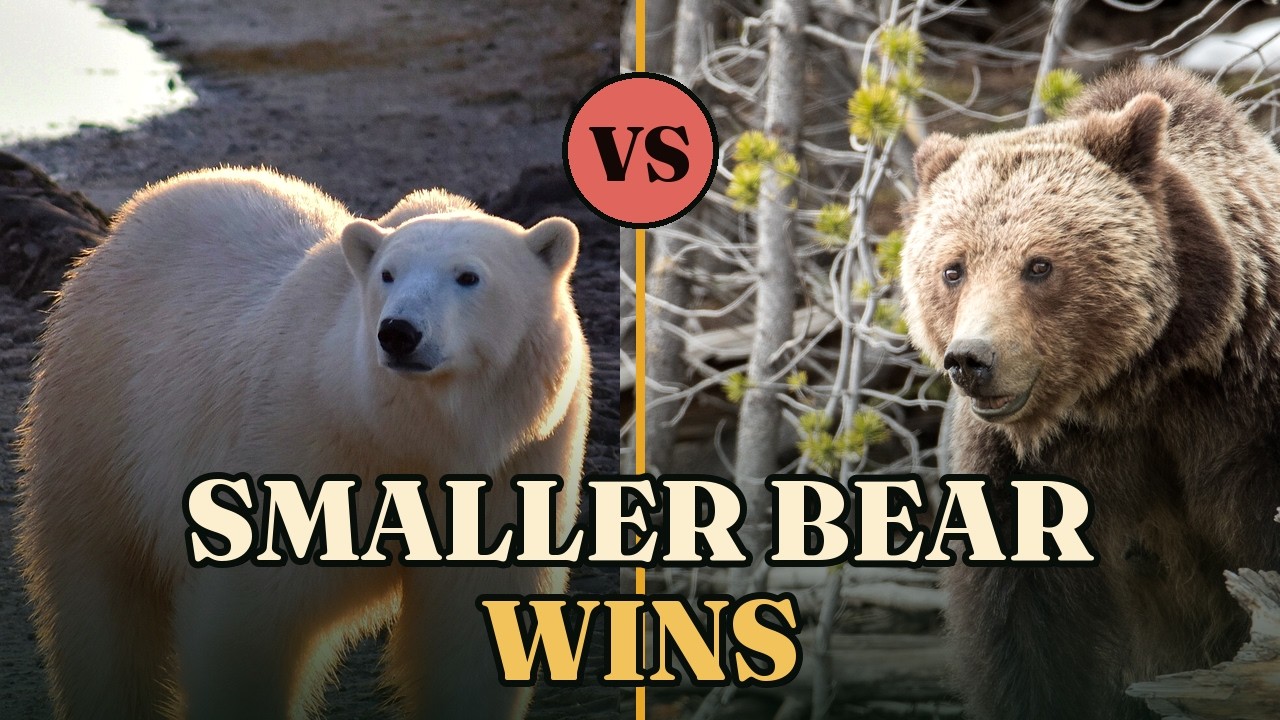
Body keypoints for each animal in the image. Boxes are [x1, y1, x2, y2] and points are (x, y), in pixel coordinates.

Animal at [14, 167, 592, 720]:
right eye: (388, 274)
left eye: (468, 276)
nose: (398, 332)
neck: (413, 437)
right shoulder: (300, 444)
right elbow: (246, 623)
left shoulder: (514, 466)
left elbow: (473, 628)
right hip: (102, 418)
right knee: (102, 598)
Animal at [900, 65, 1280, 720]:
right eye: (953, 269)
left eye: (1039, 265)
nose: (972, 360)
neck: (1132, 382)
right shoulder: (1025, 471)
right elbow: (1028, 639)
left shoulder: (1247, 408)